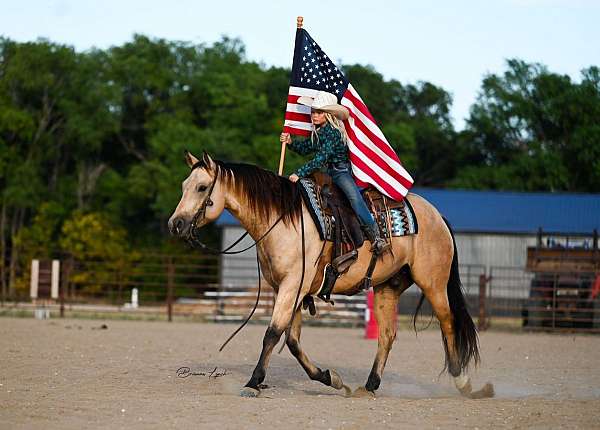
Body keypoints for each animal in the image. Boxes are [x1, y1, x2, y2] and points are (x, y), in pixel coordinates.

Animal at [168, 152, 492, 400]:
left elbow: (272, 334)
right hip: (387, 287)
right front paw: (330, 378)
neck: (283, 221)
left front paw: (253, 383)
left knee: (448, 323)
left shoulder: (291, 288)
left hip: (434, 283)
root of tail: (437, 216)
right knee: (387, 335)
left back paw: (463, 383)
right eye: (183, 185)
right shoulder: (291, 290)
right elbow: (292, 340)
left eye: (201, 187)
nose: (175, 224)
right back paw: (369, 386)